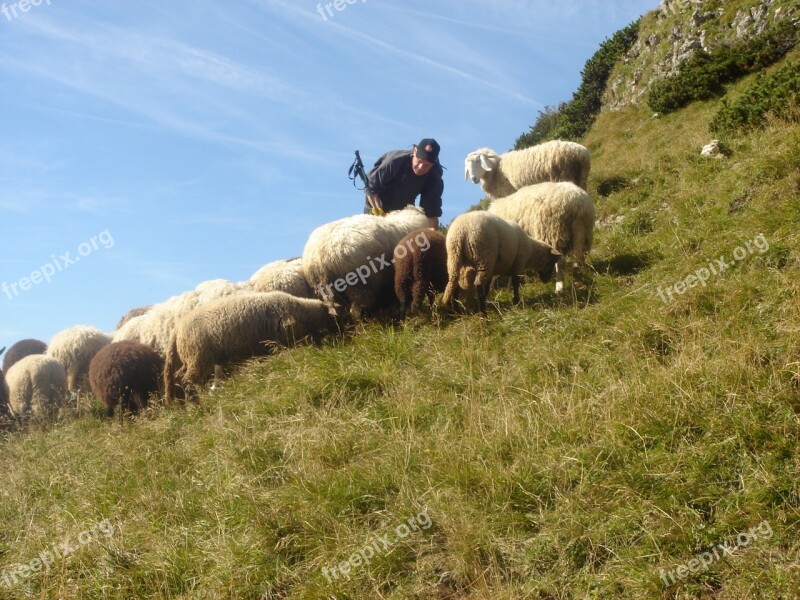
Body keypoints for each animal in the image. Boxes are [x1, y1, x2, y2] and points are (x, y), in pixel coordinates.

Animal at [164, 290, 340, 404]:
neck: (301, 311)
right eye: (334, 316)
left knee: (179, 377)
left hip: (190, 359)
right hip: (198, 357)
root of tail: (177, 329)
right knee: (186, 380)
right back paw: (195, 403)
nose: (340, 331)